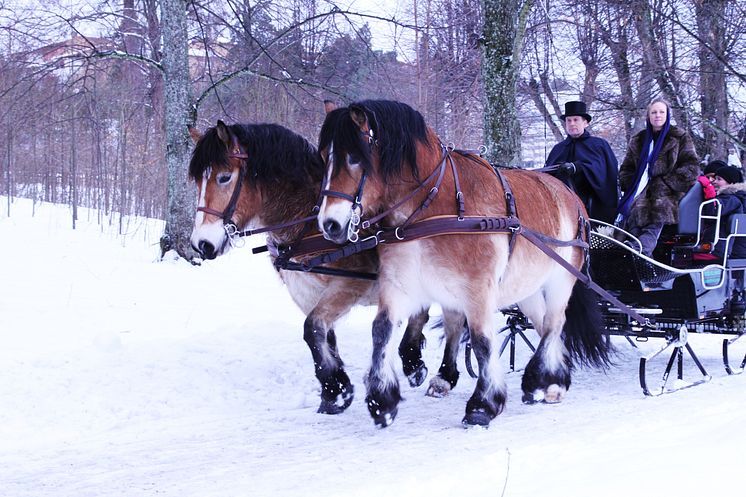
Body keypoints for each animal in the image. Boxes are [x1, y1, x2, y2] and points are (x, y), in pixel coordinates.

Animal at [189, 121, 462, 414]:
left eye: (224, 177)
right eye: (197, 181)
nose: (201, 244)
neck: (308, 222)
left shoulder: (350, 284)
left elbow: (312, 328)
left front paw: (334, 387)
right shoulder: (305, 292)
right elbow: (322, 336)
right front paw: (335, 390)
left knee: (453, 319)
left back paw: (441, 376)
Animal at [316, 100, 612, 426]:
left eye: (355, 158)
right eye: (324, 157)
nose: (329, 224)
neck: (434, 208)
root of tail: (570, 195)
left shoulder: (478, 288)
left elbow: (482, 340)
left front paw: (484, 404)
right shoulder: (400, 282)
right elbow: (382, 330)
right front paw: (382, 400)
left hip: (560, 279)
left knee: (554, 323)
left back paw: (538, 380)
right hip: (528, 288)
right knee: (544, 324)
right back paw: (554, 381)